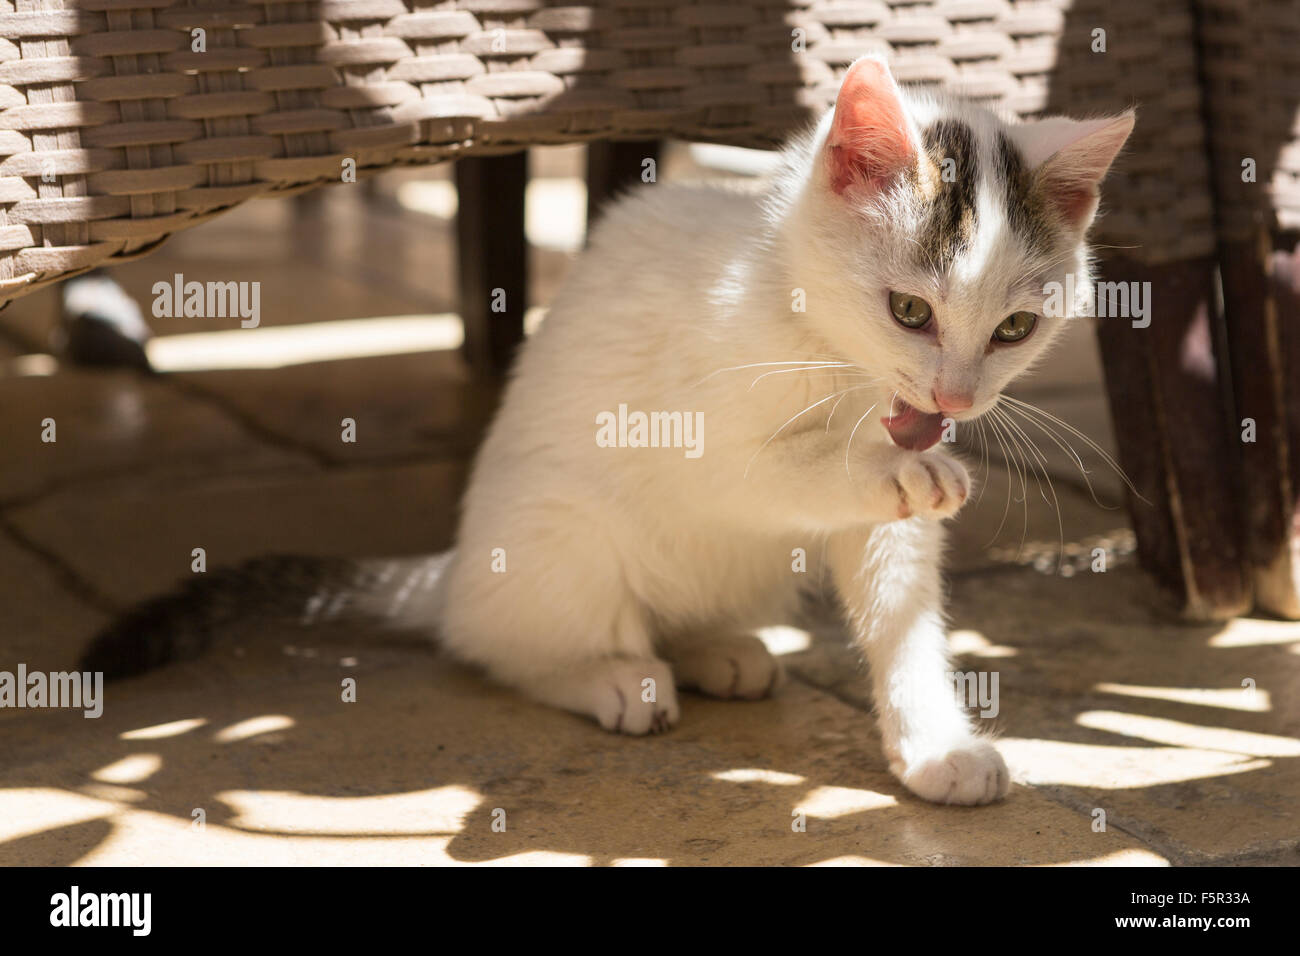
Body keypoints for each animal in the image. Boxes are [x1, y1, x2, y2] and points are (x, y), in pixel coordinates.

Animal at [428, 57, 1138, 806]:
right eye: (910, 310)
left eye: (1015, 329)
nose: (956, 396)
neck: (828, 347)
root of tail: (445, 581)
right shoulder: (686, 441)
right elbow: (773, 473)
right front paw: (889, 467)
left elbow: (901, 605)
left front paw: (934, 746)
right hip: (557, 532)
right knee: (502, 645)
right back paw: (609, 673)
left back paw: (715, 651)